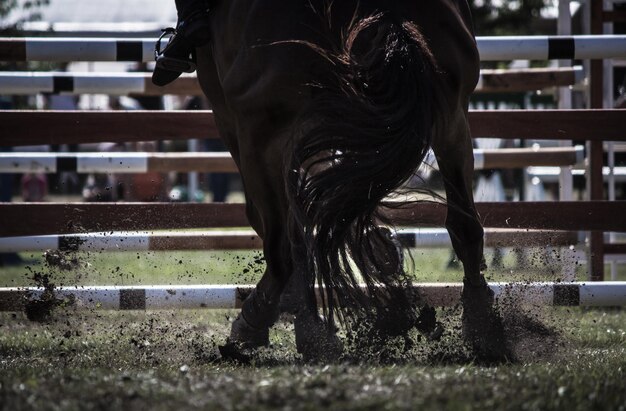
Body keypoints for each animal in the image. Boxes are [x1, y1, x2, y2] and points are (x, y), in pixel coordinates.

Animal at [193, 0, 504, 362]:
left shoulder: (240, 118)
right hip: (451, 118)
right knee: (464, 224)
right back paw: (483, 325)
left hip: (262, 131)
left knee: (284, 243)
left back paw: (277, 324)